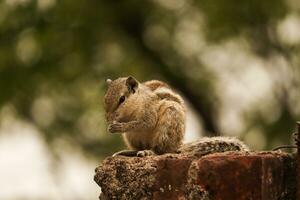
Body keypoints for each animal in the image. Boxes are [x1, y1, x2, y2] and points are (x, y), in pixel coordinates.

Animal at [103, 76, 248, 156]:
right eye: (105, 98)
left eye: (122, 99)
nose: (108, 119)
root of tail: (178, 144)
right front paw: (111, 126)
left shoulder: (149, 110)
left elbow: (146, 123)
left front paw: (120, 127)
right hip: (131, 138)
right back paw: (129, 152)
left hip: (169, 120)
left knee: (162, 150)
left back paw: (149, 152)